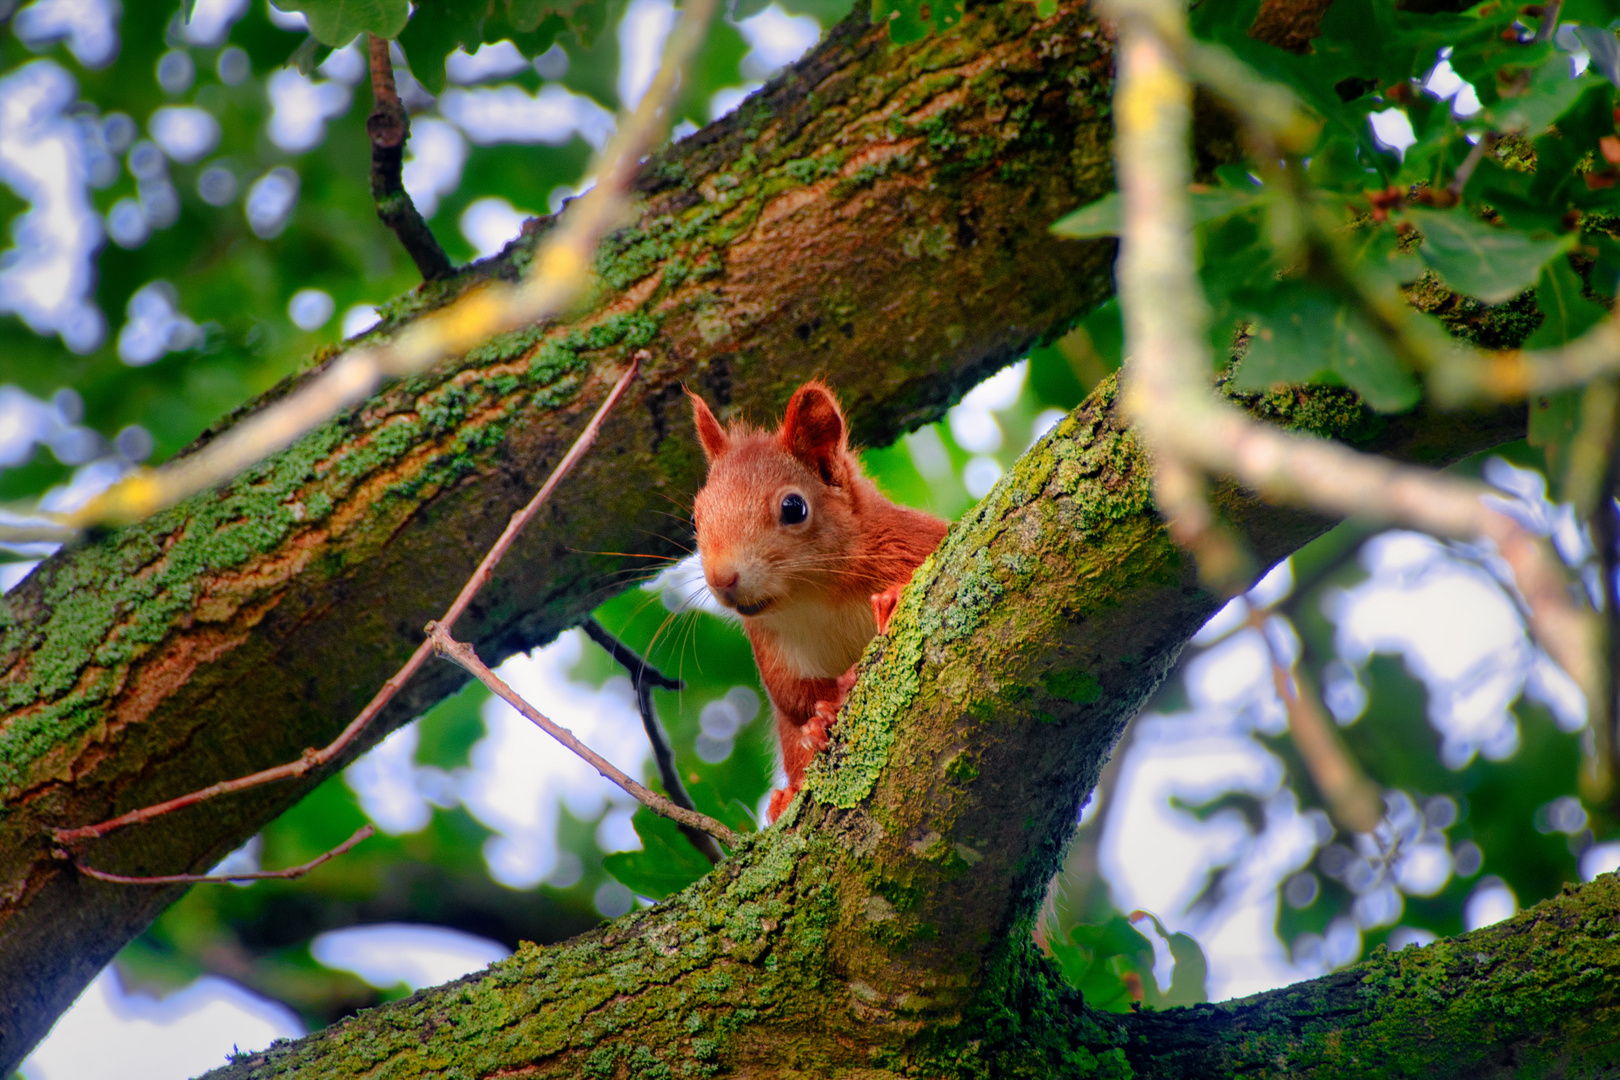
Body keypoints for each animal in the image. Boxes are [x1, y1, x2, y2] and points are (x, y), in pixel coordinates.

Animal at [683, 383, 946, 822]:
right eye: (695, 517)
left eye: (794, 507)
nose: (721, 580)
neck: (815, 594)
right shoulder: (770, 645)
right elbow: (792, 697)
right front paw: (821, 717)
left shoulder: (912, 541)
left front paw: (891, 599)